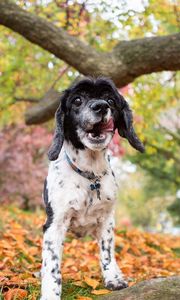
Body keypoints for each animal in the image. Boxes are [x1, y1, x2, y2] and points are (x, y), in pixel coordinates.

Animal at [40, 76, 144, 298]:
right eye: (77, 100)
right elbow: (52, 264)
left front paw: (114, 279)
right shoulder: (54, 224)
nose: (101, 106)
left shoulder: (107, 221)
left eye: (110, 100)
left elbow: (107, 253)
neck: (89, 174)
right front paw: (51, 293)